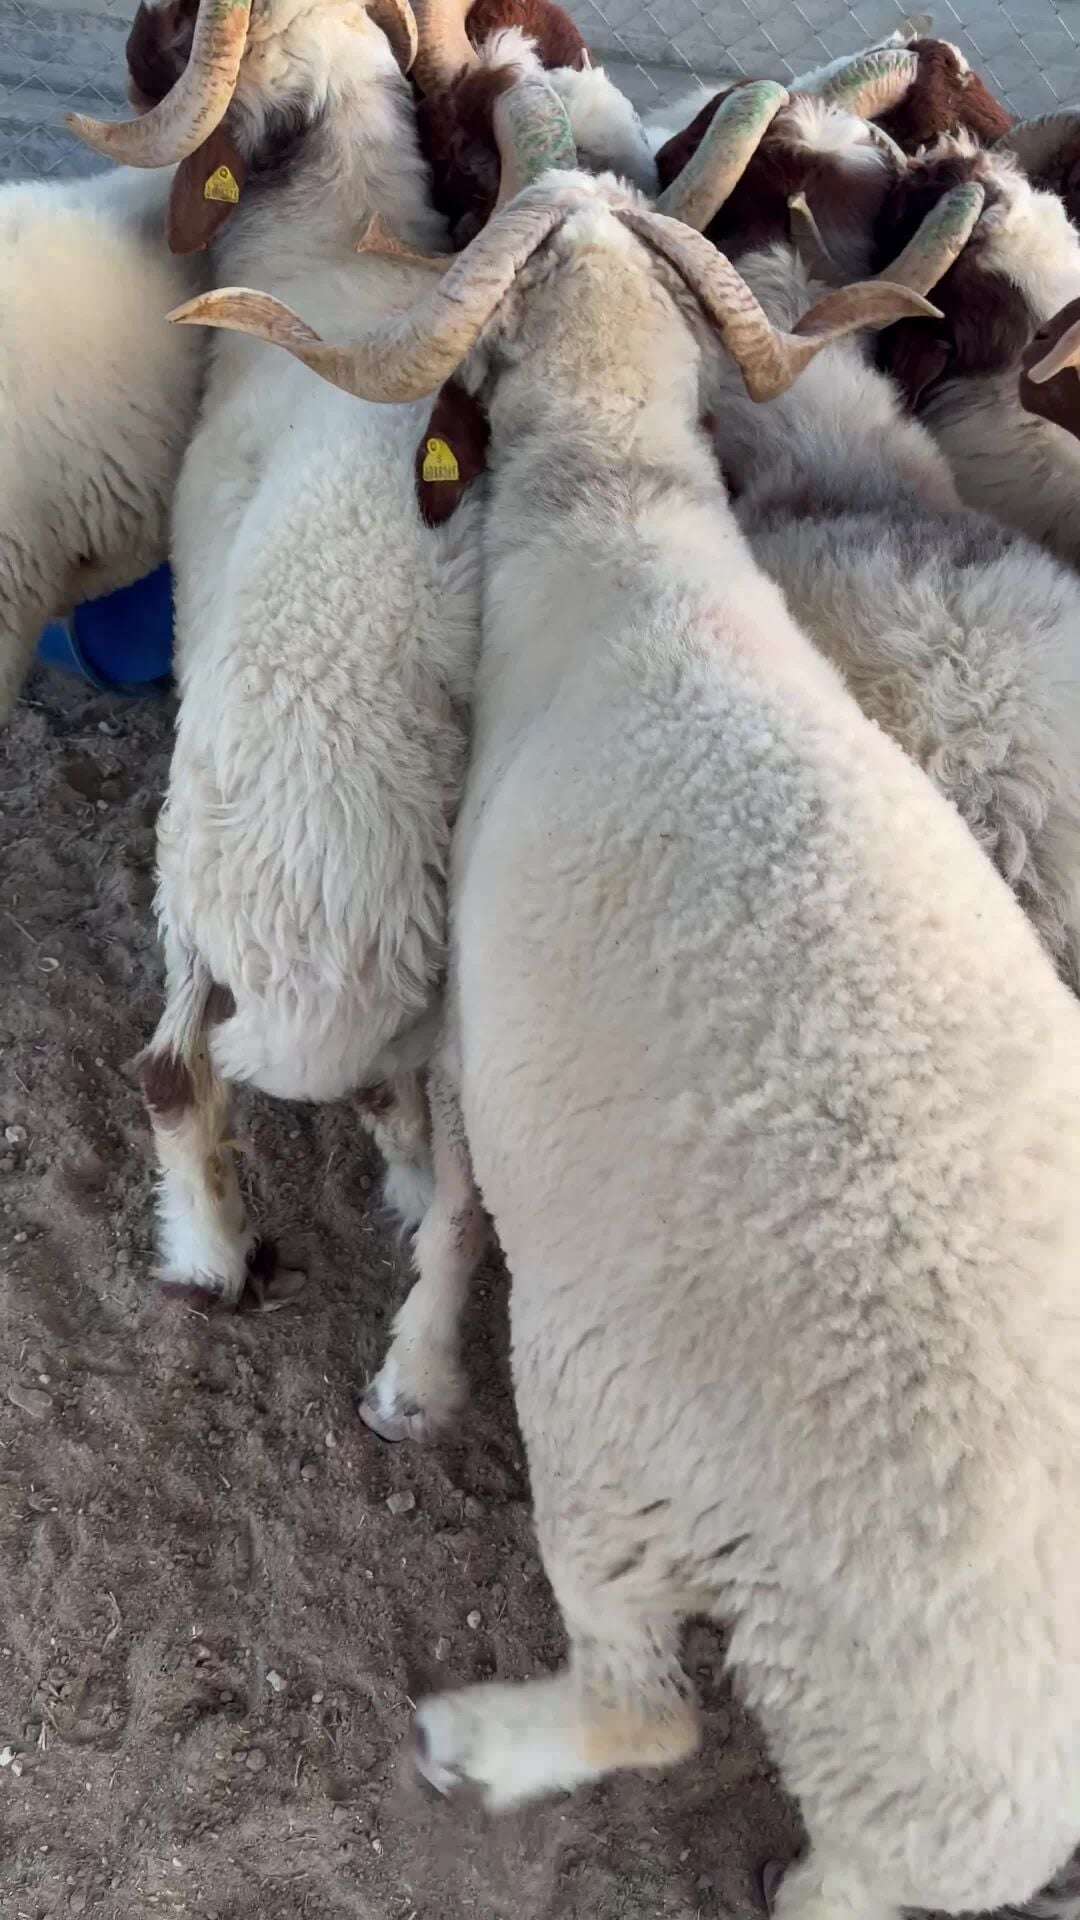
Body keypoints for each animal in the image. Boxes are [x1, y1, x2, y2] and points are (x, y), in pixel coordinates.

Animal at [66, 0, 489, 1304]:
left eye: (166, 26)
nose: (125, 40)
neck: (330, 249)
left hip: (185, 892)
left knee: (172, 1074)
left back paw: (210, 1254)